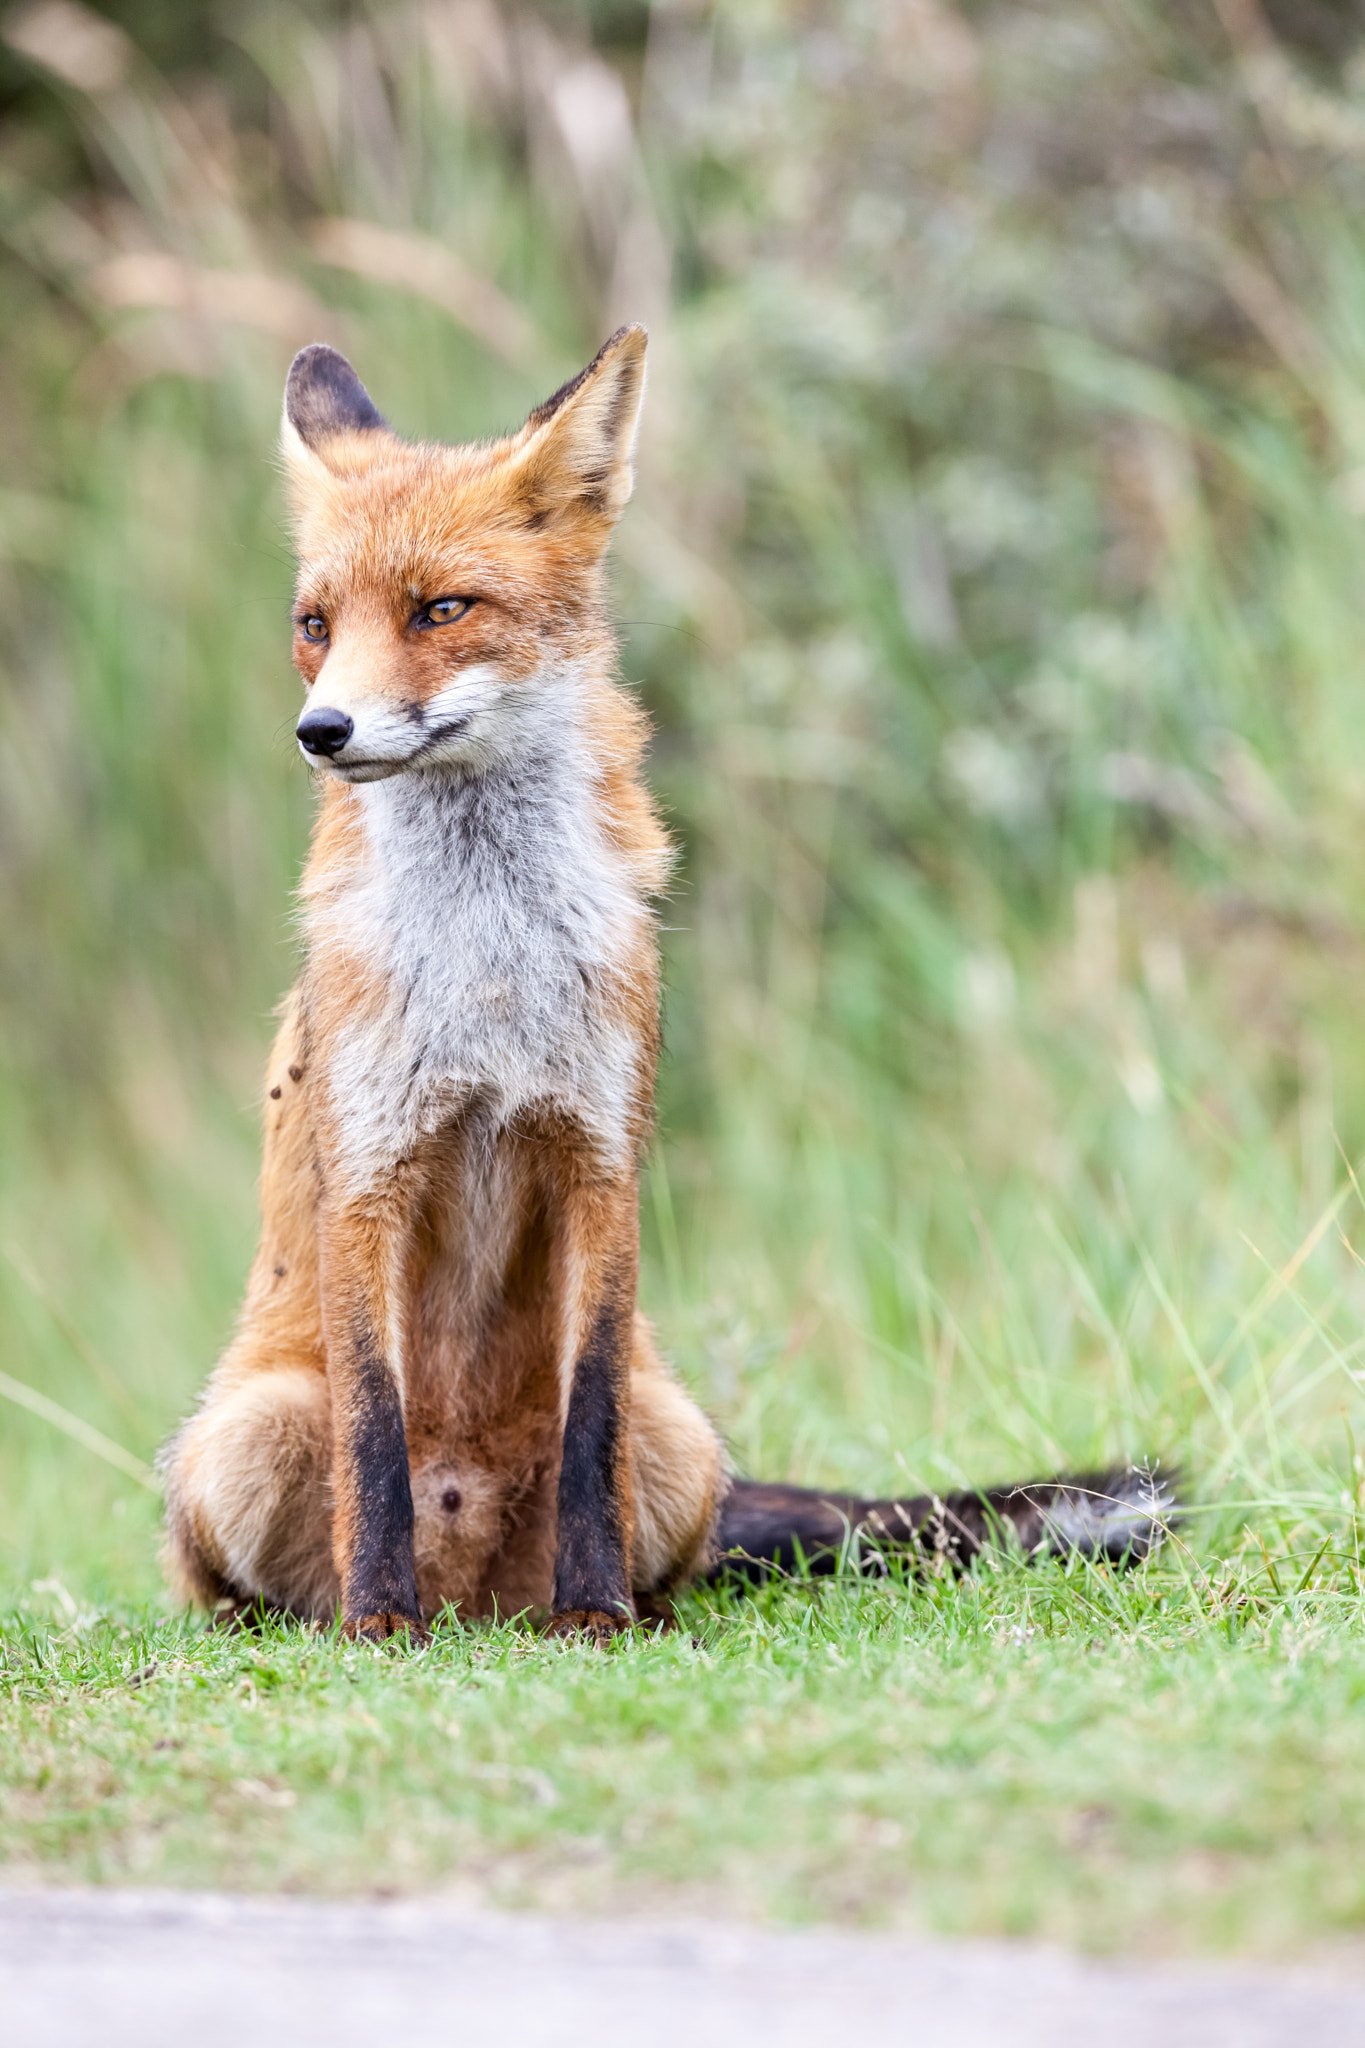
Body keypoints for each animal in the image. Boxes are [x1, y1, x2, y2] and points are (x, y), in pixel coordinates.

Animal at [157, 327, 1162, 1638]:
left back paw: (611, 1606)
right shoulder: (369, 1173)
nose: (321, 731)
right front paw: (382, 1623)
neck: (491, 969)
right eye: (316, 623)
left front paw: (596, 1617)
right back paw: (335, 1619)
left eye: (441, 608)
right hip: (242, 1433)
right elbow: (372, 1437)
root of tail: (481, 1594)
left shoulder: (598, 1155)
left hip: (681, 1434)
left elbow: (592, 1421)